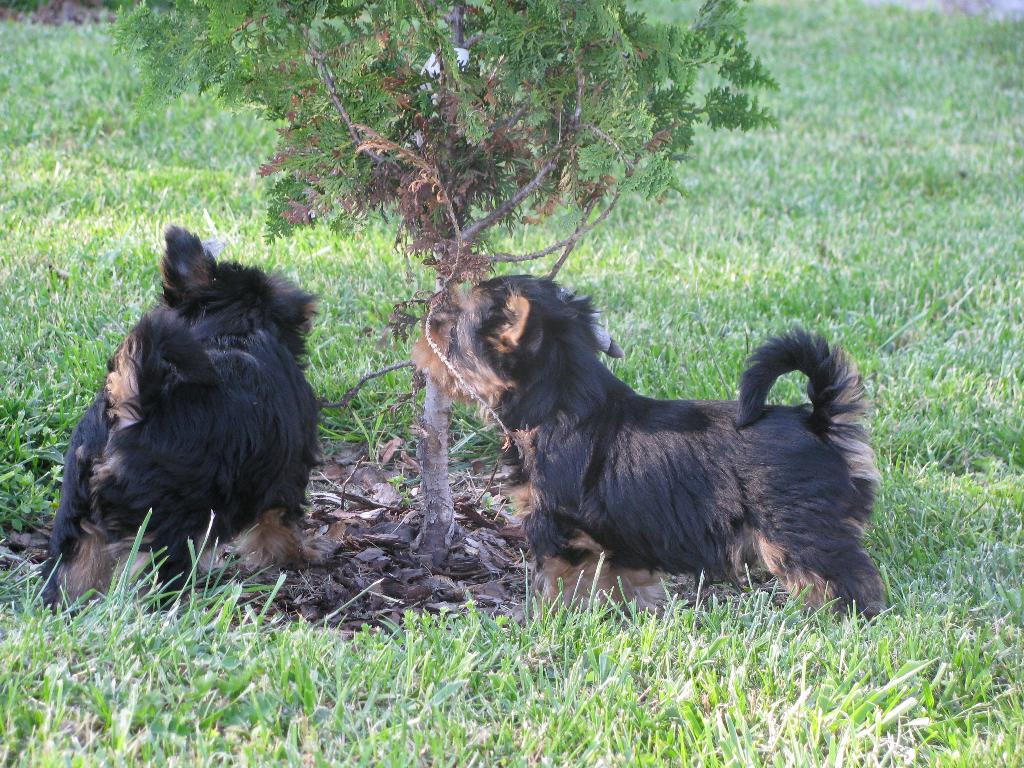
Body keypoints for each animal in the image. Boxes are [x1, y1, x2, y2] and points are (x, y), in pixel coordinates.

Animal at [41, 228, 321, 606]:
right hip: (168, 525)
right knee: (155, 578)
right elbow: (278, 523)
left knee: (70, 572)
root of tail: (134, 406)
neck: (232, 328)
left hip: (75, 516)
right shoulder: (286, 474)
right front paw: (291, 556)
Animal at [411, 276, 884, 618]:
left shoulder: (557, 526)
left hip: (796, 526)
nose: (429, 319)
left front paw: (551, 619)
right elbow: (623, 579)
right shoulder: (619, 538)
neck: (559, 403)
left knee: (842, 573)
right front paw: (632, 613)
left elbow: (560, 580)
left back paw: (844, 618)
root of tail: (818, 422)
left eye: (454, 330)